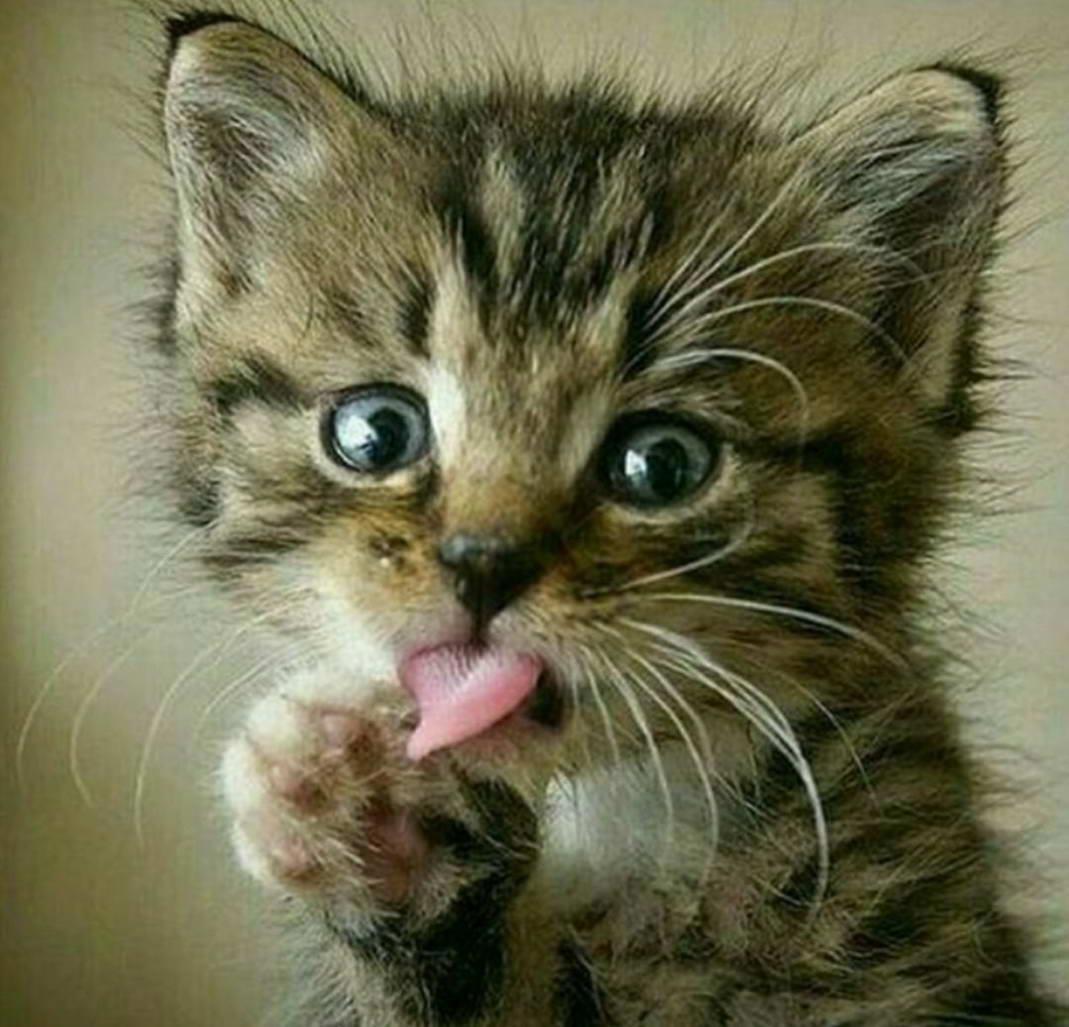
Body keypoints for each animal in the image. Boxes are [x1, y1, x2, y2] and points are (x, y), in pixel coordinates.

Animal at [151, 4, 1066, 1025]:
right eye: (375, 432)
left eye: (660, 464)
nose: (484, 562)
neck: (604, 803)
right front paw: (371, 820)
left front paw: (391, 817)